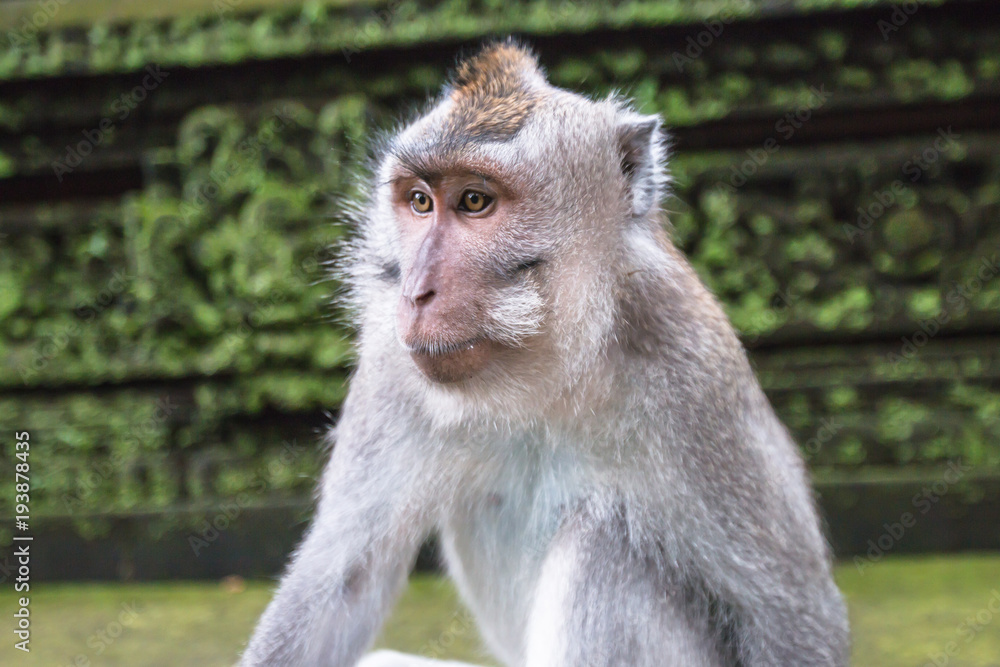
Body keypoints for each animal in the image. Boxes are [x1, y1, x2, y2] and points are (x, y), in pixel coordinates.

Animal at [238, 41, 848, 667]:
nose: (415, 292)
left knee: (603, 545)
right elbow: (341, 580)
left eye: (475, 201)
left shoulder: (693, 377)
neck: (549, 378)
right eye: (419, 202)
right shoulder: (393, 366)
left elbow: (792, 618)